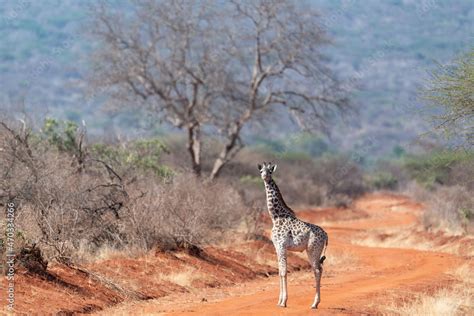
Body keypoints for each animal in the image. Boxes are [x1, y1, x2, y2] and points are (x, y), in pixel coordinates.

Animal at [258, 162, 328, 308]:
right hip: (313, 251)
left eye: (270, 171)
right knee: (319, 269)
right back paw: (315, 302)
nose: (264, 176)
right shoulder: (277, 247)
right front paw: (279, 301)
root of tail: (325, 235)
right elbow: (280, 271)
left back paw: (314, 304)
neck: (276, 216)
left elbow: (284, 271)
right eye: (261, 171)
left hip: (313, 250)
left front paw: (283, 302)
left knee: (317, 270)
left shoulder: (281, 245)